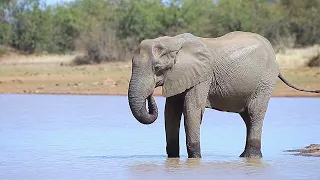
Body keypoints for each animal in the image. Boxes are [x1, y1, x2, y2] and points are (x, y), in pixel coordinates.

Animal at [127, 31, 320, 158]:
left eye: (157, 68)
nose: (150, 95)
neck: (173, 42)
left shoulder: (203, 75)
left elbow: (192, 110)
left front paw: (195, 159)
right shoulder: (178, 75)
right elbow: (171, 113)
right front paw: (173, 160)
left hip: (265, 81)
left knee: (255, 113)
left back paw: (251, 157)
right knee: (247, 117)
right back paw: (244, 157)